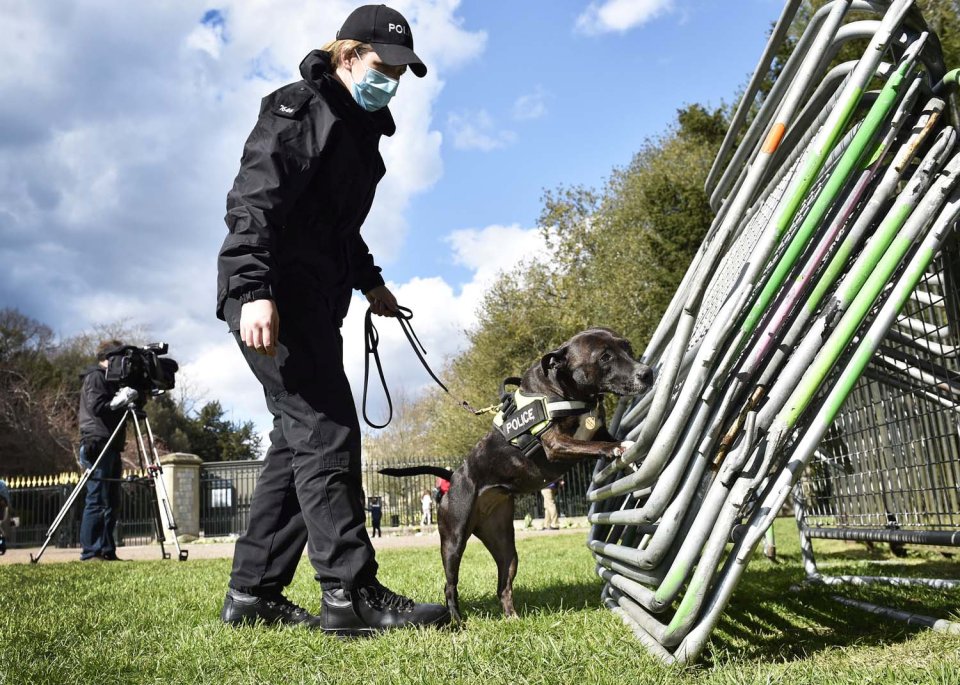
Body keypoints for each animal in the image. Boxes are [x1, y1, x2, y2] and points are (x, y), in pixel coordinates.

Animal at [380, 326, 652, 620]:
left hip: (505, 546)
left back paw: (511, 617)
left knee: (503, 585)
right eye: (604, 357)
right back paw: (457, 620)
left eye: (627, 347)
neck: (565, 392)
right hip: (453, 541)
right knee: (449, 584)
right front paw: (618, 448)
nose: (647, 372)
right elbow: (598, 445)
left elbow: (609, 438)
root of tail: (454, 478)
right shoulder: (556, 444)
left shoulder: (595, 431)